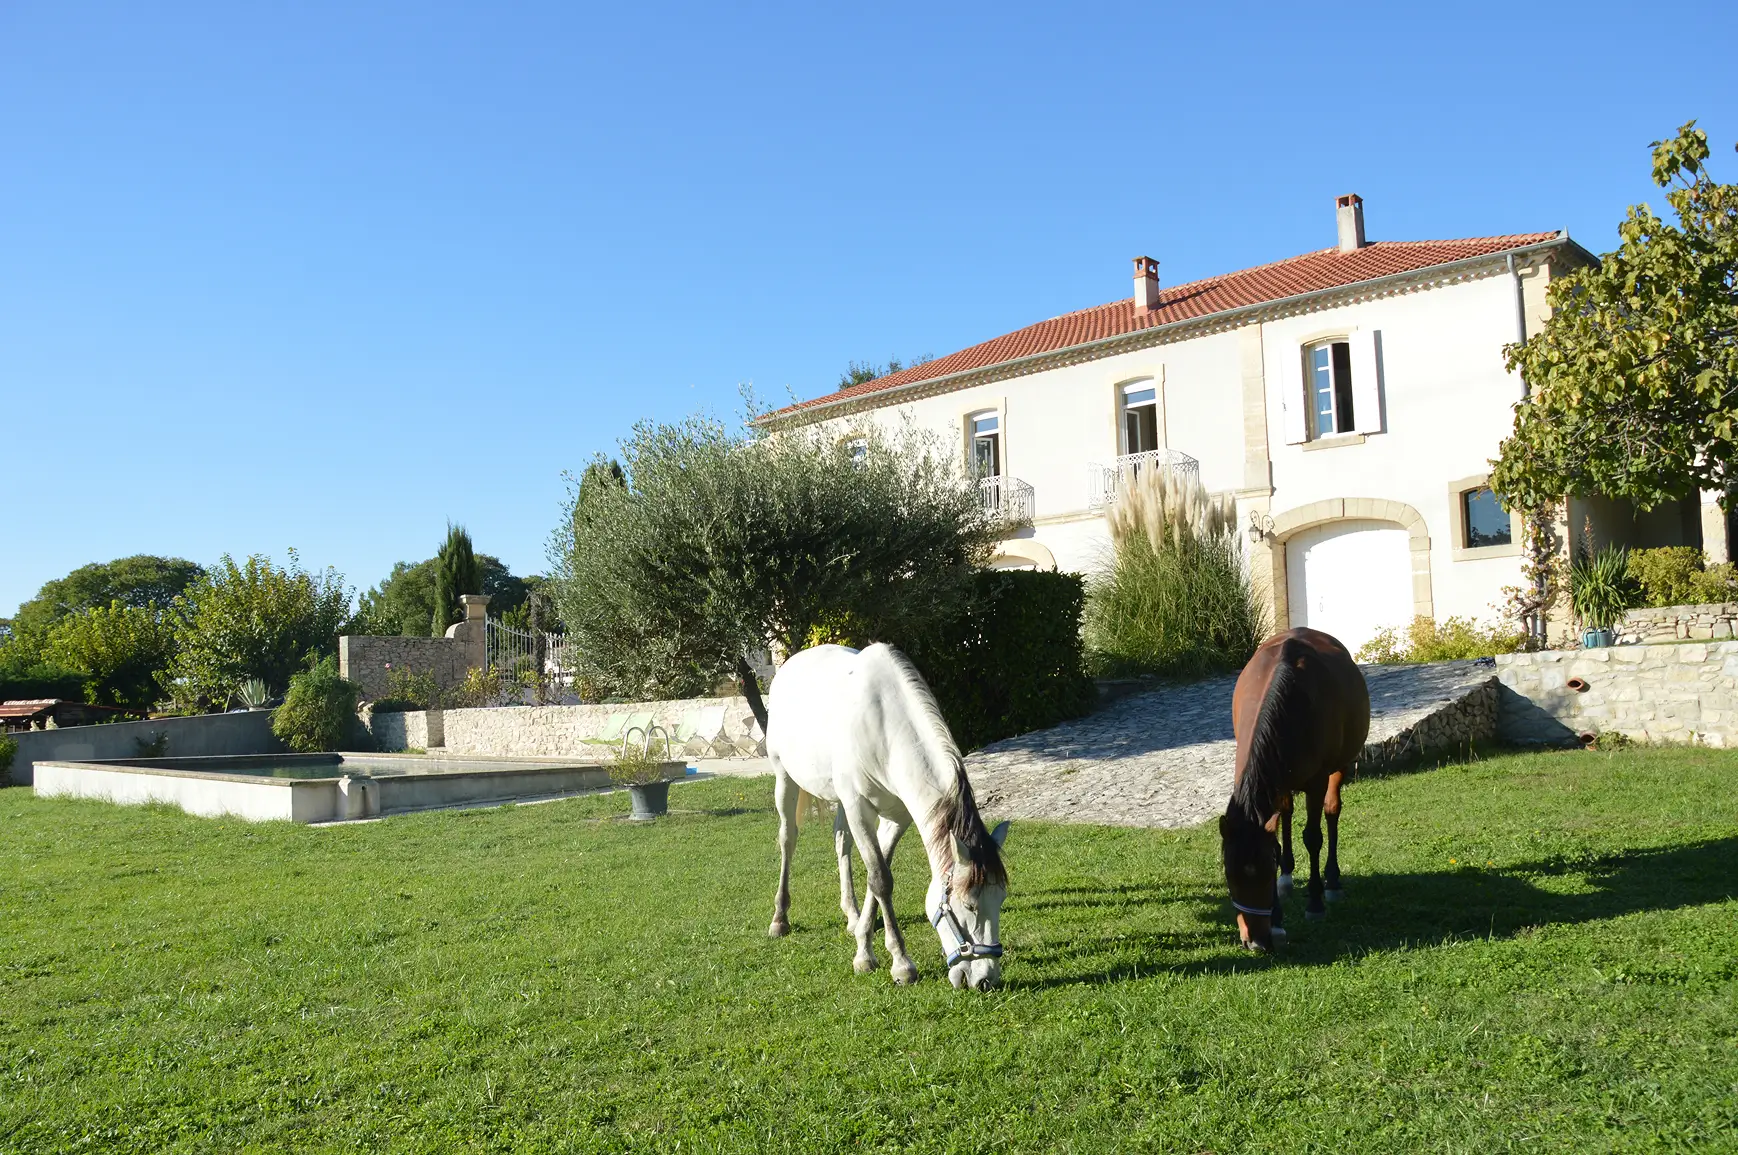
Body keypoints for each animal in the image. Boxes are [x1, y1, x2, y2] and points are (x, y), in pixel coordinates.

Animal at [737, 643, 1010, 990]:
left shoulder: (896, 817)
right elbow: (881, 879)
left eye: (1000, 900)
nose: (985, 980)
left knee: (841, 841)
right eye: (969, 905)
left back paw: (852, 916)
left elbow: (875, 876)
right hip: (785, 778)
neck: (885, 728)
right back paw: (780, 919)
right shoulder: (858, 806)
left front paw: (864, 948)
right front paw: (900, 964)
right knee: (788, 839)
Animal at [1221, 627, 1370, 952]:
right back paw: (1289, 878)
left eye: (1265, 873)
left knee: (1331, 811)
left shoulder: (1316, 781)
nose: (1255, 941)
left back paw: (1332, 882)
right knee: (1286, 814)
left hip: (1339, 766)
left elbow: (1313, 837)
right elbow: (1276, 836)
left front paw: (1314, 902)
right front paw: (1278, 920)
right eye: (1230, 875)